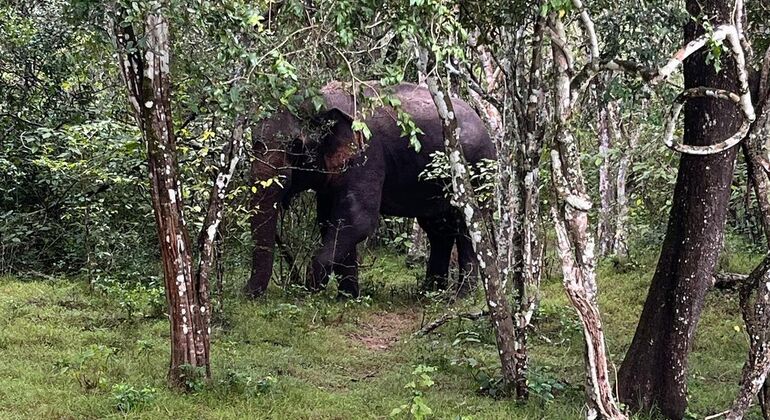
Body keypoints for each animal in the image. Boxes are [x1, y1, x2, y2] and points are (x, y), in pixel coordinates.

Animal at [246, 81, 492, 298]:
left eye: (295, 146)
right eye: (253, 143)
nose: (246, 294)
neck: (322, 98)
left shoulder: (367, 153)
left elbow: (359, 219)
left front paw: (310, 289)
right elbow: (330, 220)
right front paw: (348, 298)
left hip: (475, 170)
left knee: (468, 226)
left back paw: (460, 297)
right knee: (438, 229)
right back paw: (429, 294)